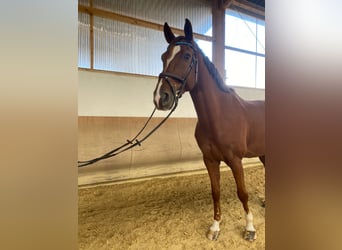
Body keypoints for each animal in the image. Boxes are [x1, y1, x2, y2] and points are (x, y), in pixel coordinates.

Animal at [154, 18, 266, 241]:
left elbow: (243, 193)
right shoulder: (210, 160)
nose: (160, 98)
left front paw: (250, 228)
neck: (219, 116)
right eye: (163, 57)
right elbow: (216, 192)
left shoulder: (236, 160)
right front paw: (215, 227)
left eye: (187, 56)